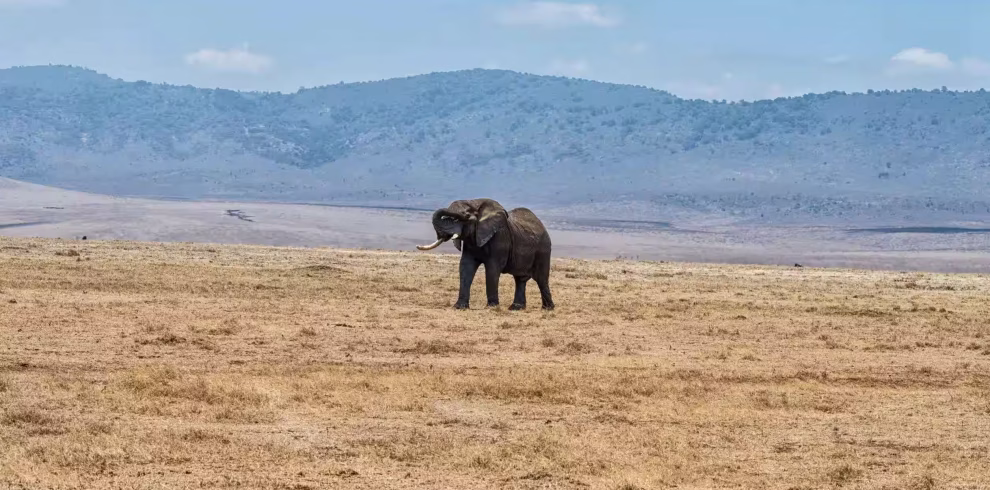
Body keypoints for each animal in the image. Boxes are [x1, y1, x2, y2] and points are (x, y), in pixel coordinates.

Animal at [416, 198, 555, 311]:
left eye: (465, 216)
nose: (417, 246)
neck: (474, 202)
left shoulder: (499, 238)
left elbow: (492, 269)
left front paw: (492, 307)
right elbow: (466, 266)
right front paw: (459, 307)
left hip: (543, 249)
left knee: (541, 279)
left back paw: (548, 309)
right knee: (520, 279)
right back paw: (516, 308)